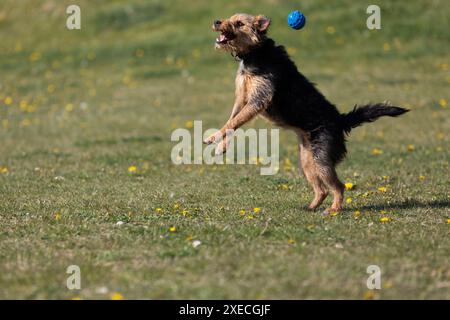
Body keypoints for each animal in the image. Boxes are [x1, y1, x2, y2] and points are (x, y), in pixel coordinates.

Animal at [206, 13, 410, 212]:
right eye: (229, 18)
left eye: (239, 23)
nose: (216, 21)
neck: (255, 51)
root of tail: (340, 120)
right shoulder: (242, 98)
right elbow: (232, 121)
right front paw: (221, 146)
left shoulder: (258, 99)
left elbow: (235, 122)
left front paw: (212, 137)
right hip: (306, 160)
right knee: (322, 190)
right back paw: (311, 207)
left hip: (322, 159)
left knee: (338, 186)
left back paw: (334, 209)